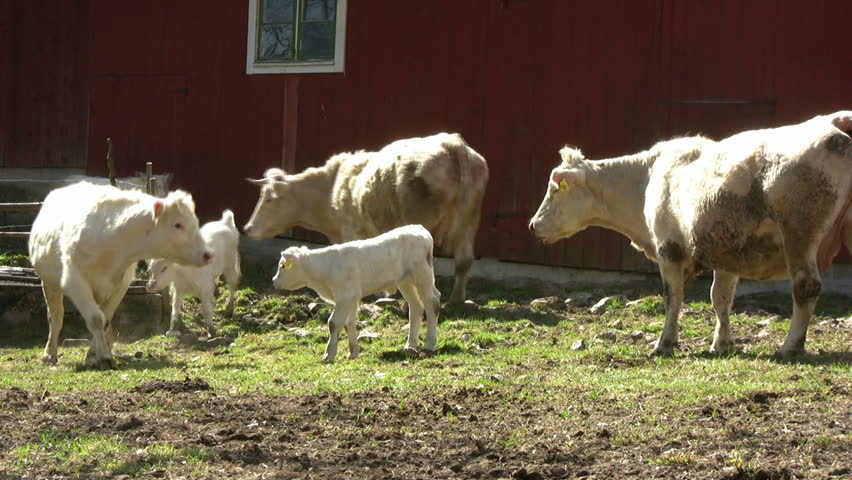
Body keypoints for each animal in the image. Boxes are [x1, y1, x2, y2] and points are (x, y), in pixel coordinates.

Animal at [29, 182, 212, 369]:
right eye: (178, 225)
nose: (207, 255)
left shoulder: (121, 285)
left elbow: (105, 319)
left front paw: (94, 355)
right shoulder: (74, 282)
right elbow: (96, 318)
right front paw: (103, 357)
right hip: (49, 284)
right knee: (56, 317)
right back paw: (50, 354)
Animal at [244, 132, 489, 303]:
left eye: (269, 199)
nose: (247, 228)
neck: (332, 186)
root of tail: (453, 144)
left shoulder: (353, 232)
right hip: (469, 224)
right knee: (464, 261)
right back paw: (457, 299)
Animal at [271, 225, 441, 363]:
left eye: (283, 266)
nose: (274, 281)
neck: (326, 267)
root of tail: (420, 229)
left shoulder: (345, 296)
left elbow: (334, 323)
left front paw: (328, 355)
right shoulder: (352, 297)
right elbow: (349, 322)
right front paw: (353, 352)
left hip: (422, 276)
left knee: (431, 303)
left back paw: (429, 344)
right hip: (405, 282)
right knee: (416, 307)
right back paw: (410, 345)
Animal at [529, 111, 852, 358]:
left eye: (554, 190)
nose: (532, 225)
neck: (647, 177)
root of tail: (834, 122)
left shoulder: (669, 249)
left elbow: (673, 298)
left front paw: (665, 343)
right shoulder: (728, 253)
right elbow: (720, 298)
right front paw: (721, 344)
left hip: (799, 234)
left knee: (806, 286)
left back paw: (789, 347)